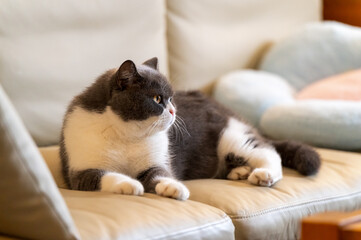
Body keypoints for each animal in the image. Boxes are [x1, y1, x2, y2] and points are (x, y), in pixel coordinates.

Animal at [59, 57, 320, 201]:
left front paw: (173, 188)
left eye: (172, 98)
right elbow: (103, 175)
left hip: (232, 136)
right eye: (157, 98)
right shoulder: (80, 172)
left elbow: (160, 174)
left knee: (267, 151)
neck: (127, 135)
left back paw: (263, 174)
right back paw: (239, 172)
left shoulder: (158, 161)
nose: (174, 110)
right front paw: (130, 184)